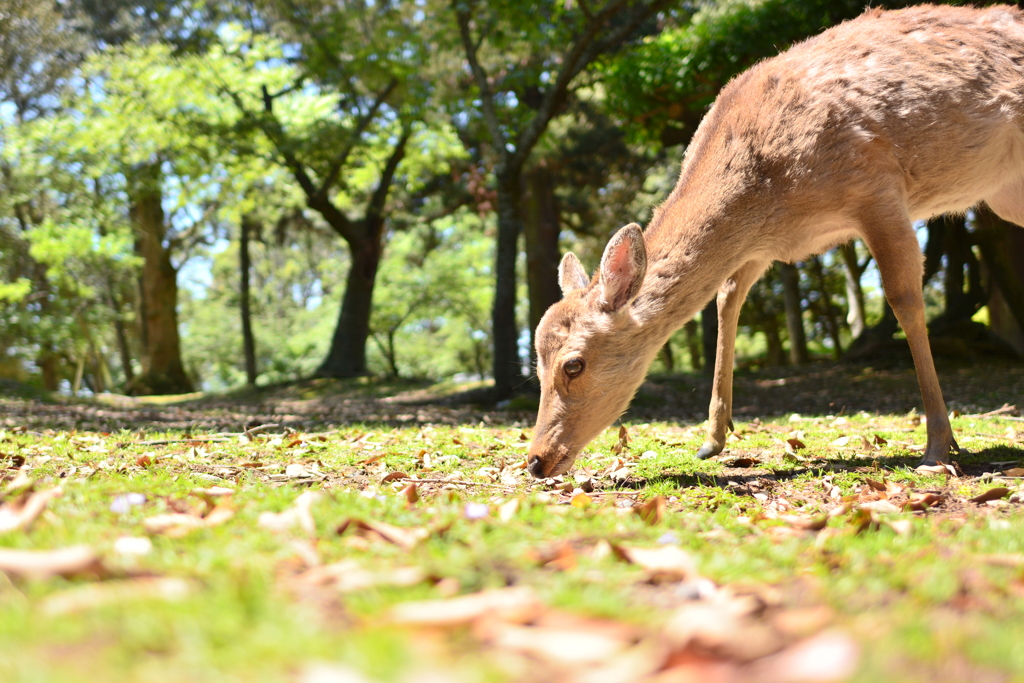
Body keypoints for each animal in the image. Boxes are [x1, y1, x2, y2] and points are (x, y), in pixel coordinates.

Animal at [528, 3, 1024, 481]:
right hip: (1004, 194)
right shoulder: (761, 246)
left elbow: (904, 299)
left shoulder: (877, 189)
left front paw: (939, 446)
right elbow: (727, 297)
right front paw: (713, 439)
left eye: (574, 364)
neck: (773, 194)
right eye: (535, 365)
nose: (536, 460)